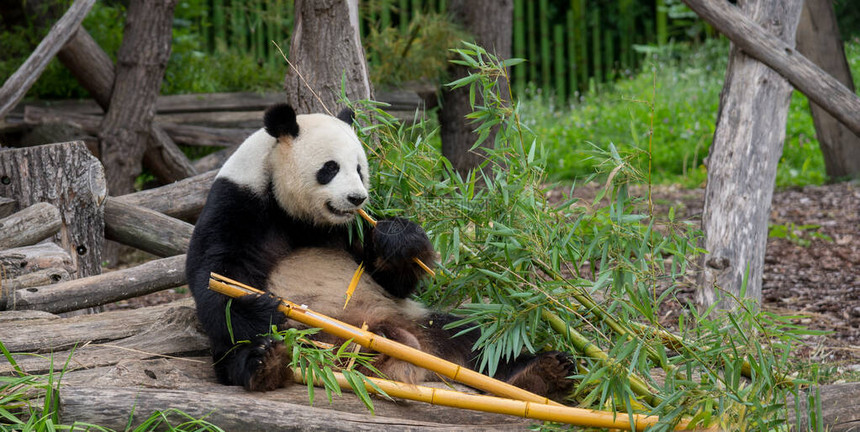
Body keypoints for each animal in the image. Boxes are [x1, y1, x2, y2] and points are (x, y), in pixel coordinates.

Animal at [185, 104, 576, 398]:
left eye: (360, 168)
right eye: (330, 168)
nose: (357, 198)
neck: (300, 218)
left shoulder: (352, 229)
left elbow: (392, 275)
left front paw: (399, 238)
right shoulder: (239, 204)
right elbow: (216, 277)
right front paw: (263, 306)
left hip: (417, 319)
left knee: (481, 338)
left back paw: (543, 371)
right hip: (302, 340)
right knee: (237, 349)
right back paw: (264, 363)